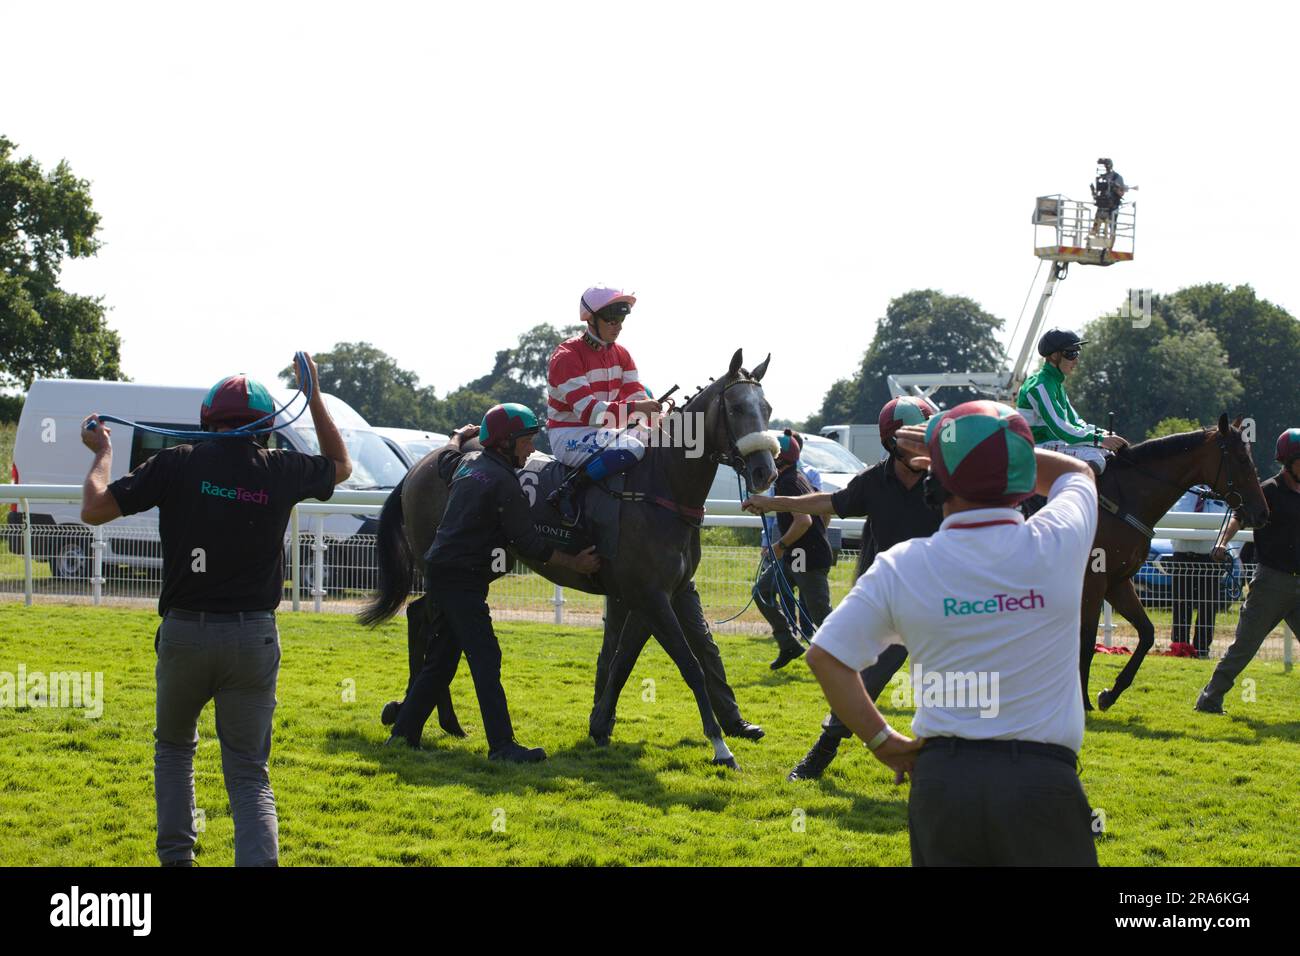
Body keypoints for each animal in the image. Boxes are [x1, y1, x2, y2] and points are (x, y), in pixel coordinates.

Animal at [1076, 416, 1268, 712]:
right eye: (1241, 458)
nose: (1262, 512)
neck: (1122, 499)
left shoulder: (1117, 582)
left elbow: (1147, 632)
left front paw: (1110, 693)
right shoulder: (1093, 580)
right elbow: (1086, 640)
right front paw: (1083, 702)